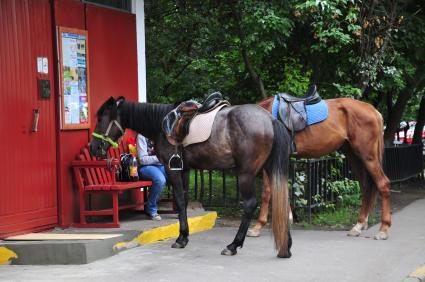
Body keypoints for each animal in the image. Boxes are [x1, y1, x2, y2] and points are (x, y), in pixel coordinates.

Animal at [90, 97, 292, 258]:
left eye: (101, 118)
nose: (93, 147)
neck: (162, 125)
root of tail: (270, 119)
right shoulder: (184, 170)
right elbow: (184, 201)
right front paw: (184, 235)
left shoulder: (172, 169)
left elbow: (179, 201)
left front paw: (181, 238)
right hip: (268, 170)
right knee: (280, 198)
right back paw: (286, 245)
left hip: (245, 174)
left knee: (250, 204)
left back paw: (233, 245)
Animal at [248, 95, 390, 240]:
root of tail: (373, 111)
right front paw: (288, 218)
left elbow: (267, 192)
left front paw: (258, 226)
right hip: (354, 156)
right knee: (366, 187)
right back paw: (358, 226)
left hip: (368, 157)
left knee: (383, 184)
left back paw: (383, 230)